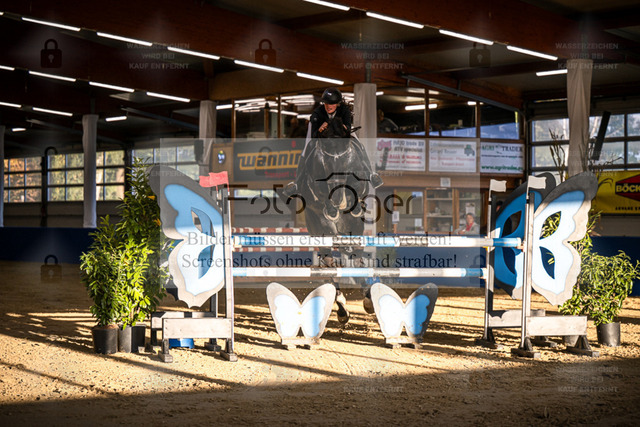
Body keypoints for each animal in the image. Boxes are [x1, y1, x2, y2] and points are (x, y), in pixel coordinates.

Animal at [296, 117, 377, 323]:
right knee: (331, 263)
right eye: (323, 163)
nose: (337, 197)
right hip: (321, 231)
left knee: (355, 257)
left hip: (353, 229)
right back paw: (341, 309)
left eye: (345, 160)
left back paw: (367, 299)